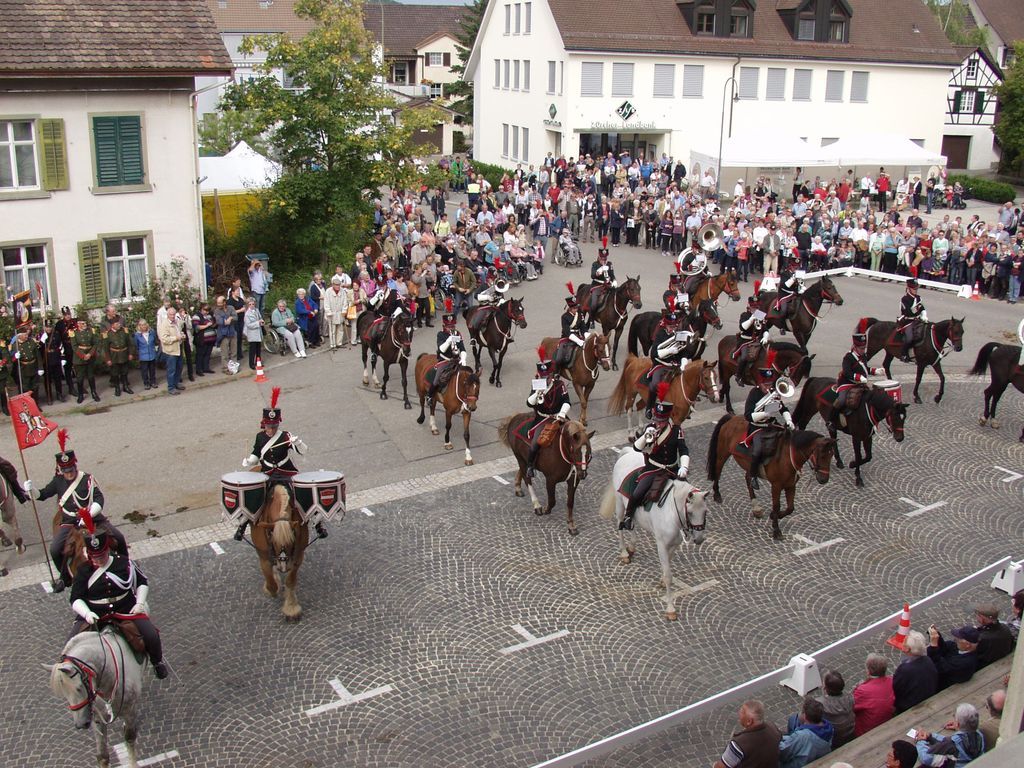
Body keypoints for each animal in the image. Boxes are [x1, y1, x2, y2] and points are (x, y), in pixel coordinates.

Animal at [43, 626, 147, 765]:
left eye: (79, 687)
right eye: (64, 694)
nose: (80, 724)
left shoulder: (130, 711)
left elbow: (130, 738)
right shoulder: (98, 718)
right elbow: (103, 755)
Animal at [250, 489, 307, 622]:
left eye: (292, 541)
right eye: (273, 540)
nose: (283, 565)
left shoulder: (298, 556)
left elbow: (291, 581)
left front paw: (291, 607)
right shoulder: (264, 557)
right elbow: (271, 583)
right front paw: (272, 589)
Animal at [598, 450, 708, 618]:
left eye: (705, 511)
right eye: (689, 512)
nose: (699, 539)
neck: (673, 511)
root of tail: (629, 452)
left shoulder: (674, 544)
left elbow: (668, 565)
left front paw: (662, 581)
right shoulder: (661, 544)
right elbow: (669, 576)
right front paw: (670, 609)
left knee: (631, 523)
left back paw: (631, 547)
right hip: (620, 504)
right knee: (620, 526)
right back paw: (624, 553)